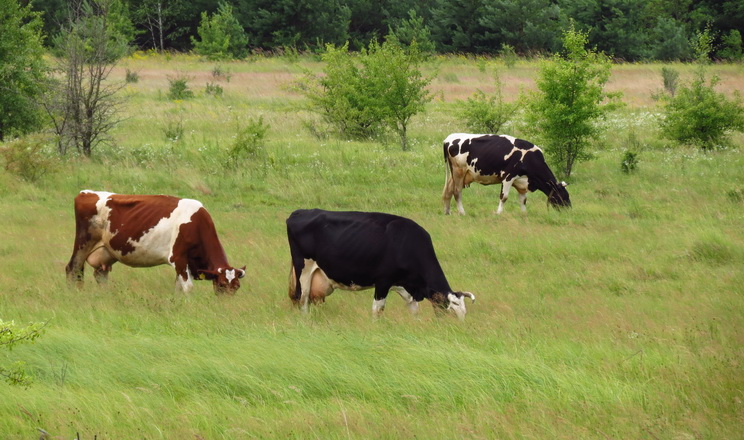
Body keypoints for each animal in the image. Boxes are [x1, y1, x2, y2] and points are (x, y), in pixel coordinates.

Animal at [66, 191, 246, 294]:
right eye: (221, 284)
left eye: (236, 286)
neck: (196, 223)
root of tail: (86, 192)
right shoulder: (179, 259)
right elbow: (187, 287)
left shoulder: (184, 265)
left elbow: (178, 288)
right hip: (83, 242)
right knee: (73, 269)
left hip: (107, 251)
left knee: (101, 275)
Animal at [288, 210, 474, 320]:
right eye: (453, 310)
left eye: (465, 312)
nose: (458, 329)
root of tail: (299, 212)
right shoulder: (383, 281)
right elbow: (378, 309)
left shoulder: (405, 286)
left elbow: (414, 309)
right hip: (303, 270)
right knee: (302, 299)